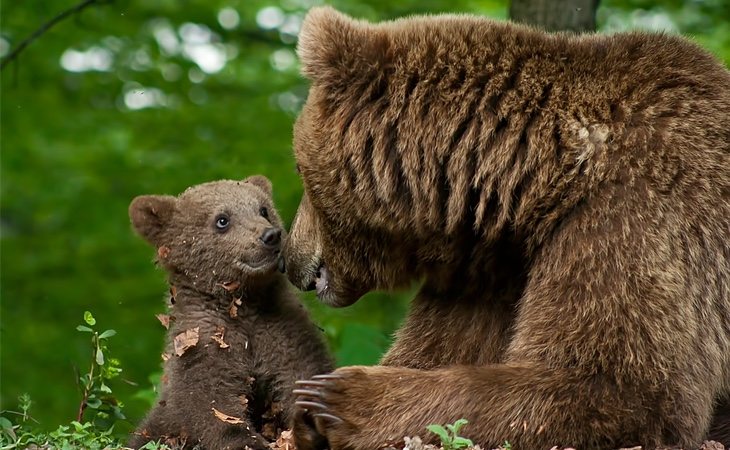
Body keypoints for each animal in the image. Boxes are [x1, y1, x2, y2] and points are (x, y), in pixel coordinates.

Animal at [282, 6, 728, 450]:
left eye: (300, 172)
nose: (289, 259)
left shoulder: (635, 216)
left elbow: (623, 386)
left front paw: (336, 398)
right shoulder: (492, 271)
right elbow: (439, 348)